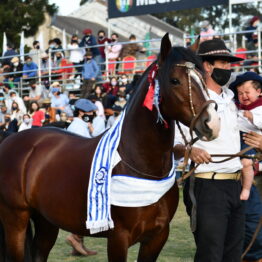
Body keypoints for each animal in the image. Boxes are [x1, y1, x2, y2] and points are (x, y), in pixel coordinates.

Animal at [0, 33, 220, 260]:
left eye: (203, 78)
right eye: (174, 80)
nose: (211, 122)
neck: (141, 164)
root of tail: (10, 141)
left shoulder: (157, 237)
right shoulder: (118, 238)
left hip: (46, 222)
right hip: (15, 220)